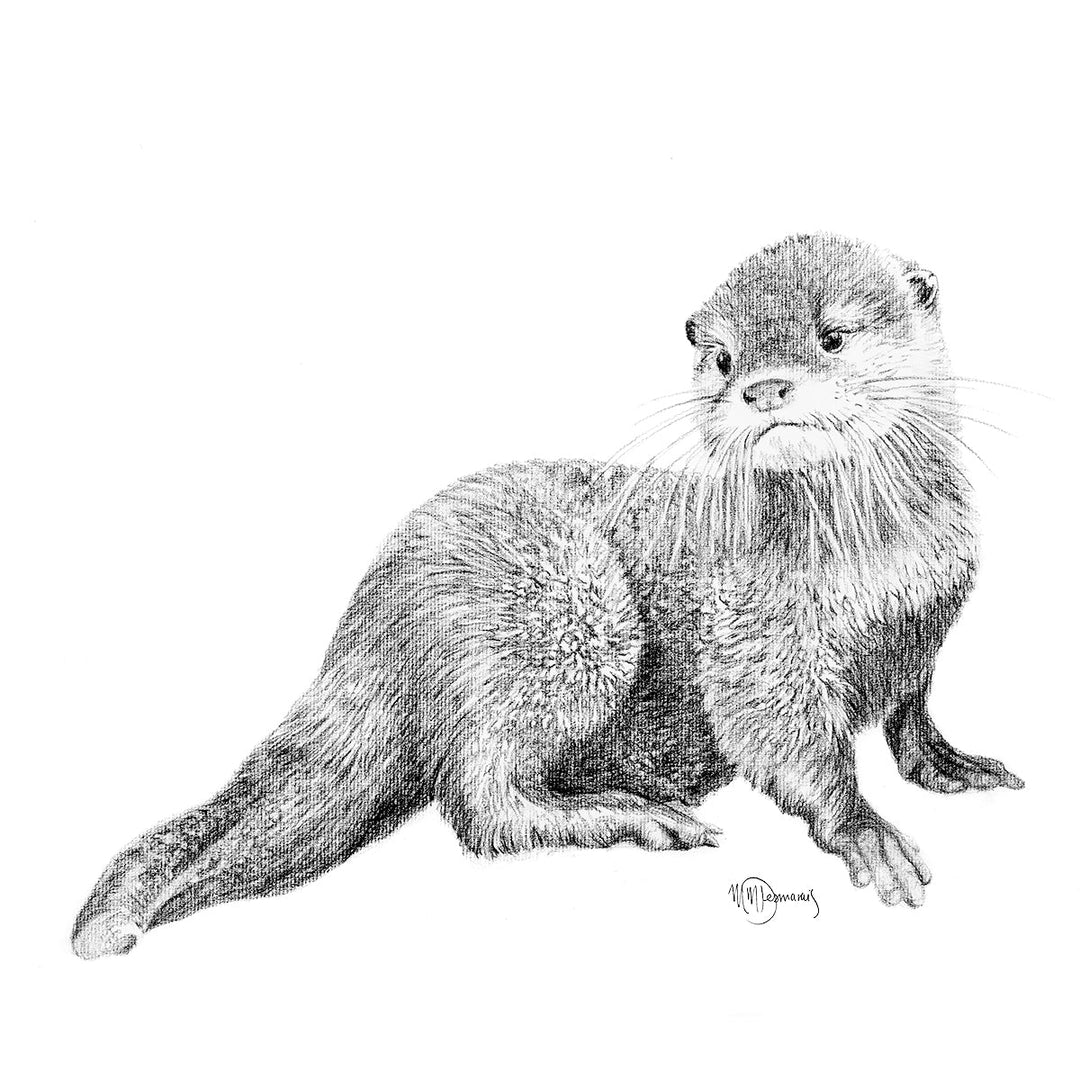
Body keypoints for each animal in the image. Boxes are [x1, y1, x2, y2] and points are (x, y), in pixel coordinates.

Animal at [72, 232, 1023, 958]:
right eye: (721, 358)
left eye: (833, 336)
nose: (762, 387)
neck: (874, 566)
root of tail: (371, 620)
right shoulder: (756, 635)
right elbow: (786, 742)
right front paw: (867, 831)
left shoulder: (925, 625)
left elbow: (910, 709)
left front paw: (955, 764)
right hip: (564, 616)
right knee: (481, 805)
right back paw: (637, 816)